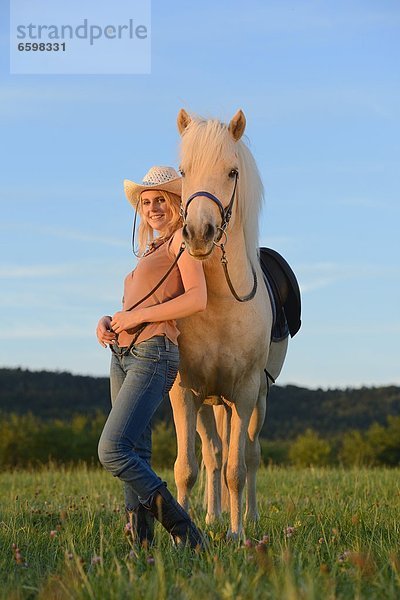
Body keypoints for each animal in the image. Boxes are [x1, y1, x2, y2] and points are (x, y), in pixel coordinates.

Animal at [170, 110, 288, 536]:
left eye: (232, 172)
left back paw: (247, 517)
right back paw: (212, 515)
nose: (198, 233)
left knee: (250, 453)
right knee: (213, 453)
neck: (218, 303)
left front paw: (237, 535)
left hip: (257, 402)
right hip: (209, 404)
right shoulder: (184, 393)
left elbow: (237, 469)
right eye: (183, 171)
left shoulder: (246, 393)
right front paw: (184, 530)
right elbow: (188, 467)